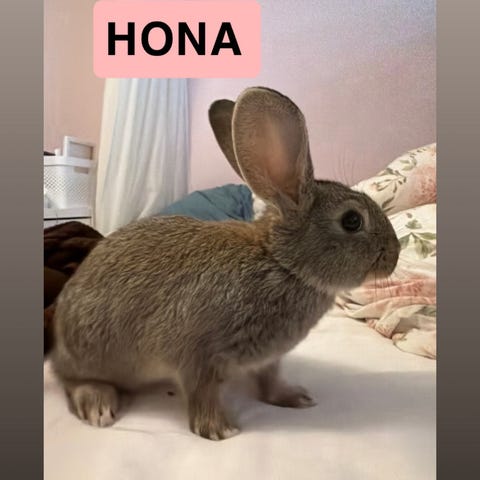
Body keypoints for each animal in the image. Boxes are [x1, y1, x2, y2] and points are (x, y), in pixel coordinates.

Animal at [50, 86, 400, 441]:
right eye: (352, 221)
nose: (395, 254)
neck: (281, 262)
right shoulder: (198, 353)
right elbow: (201, 391)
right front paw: (219, 430)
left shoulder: (267, 358)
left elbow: (269, 379)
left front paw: (294, 397)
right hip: (93, 350)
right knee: (71, 380)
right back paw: (98, 404)